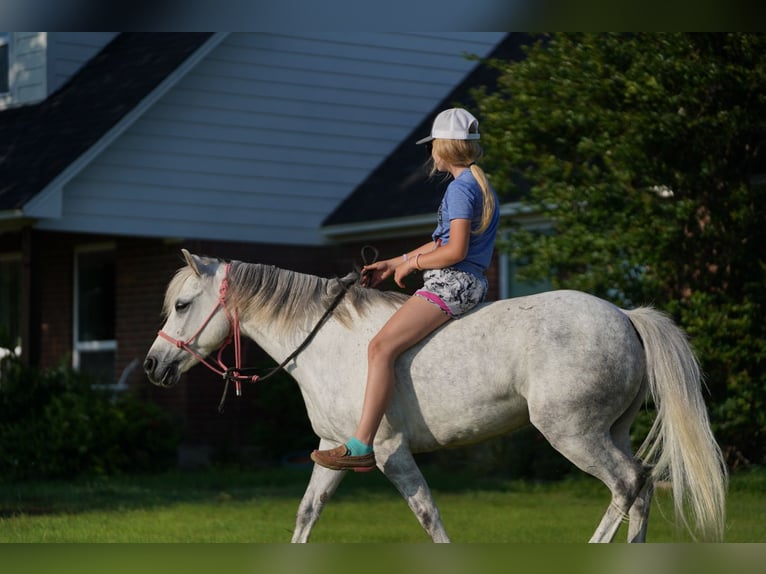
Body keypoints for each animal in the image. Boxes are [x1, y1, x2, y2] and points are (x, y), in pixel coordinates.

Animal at [146, 251, 732, 544]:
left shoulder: (389, 452)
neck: (325, 341)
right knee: (642, 487)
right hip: (611, 431)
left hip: (575, 435)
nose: (152, 365)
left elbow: (428, 515)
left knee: (628, 484)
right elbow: (307, 513)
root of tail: (626, 317)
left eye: (182, 304)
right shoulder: (333, 452)